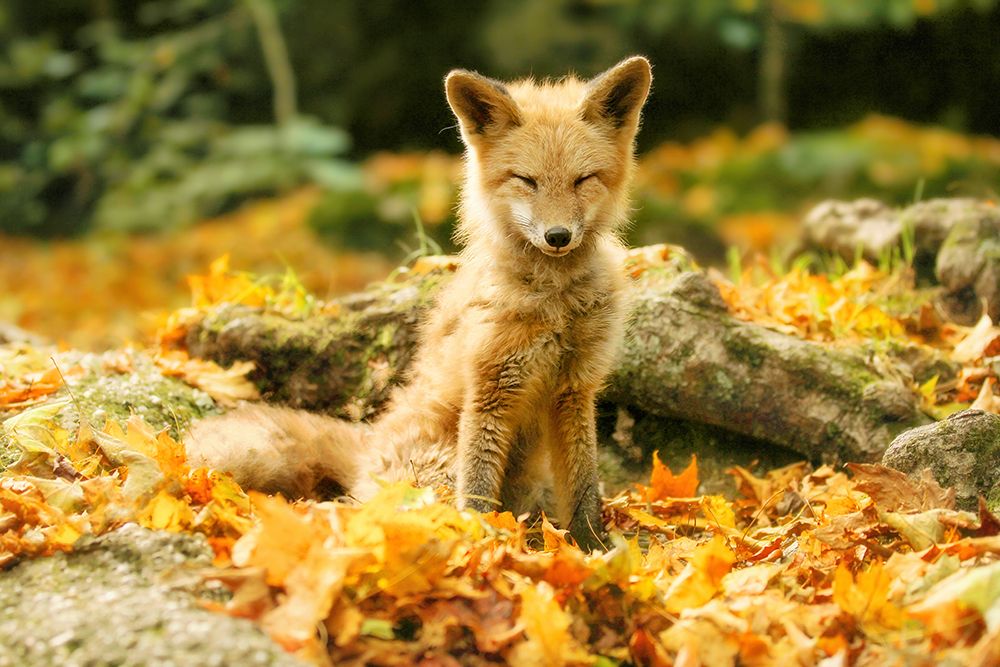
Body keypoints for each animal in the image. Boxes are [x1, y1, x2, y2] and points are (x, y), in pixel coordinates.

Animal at [184, 56, 652, 550]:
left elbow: (583, 489)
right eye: (527, 181)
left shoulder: (575, 388)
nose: (557, 236)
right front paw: (483, 544)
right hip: (438, 472)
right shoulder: (491, 387)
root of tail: (368, 444)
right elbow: (478, 489)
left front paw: (592, 548)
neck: (556, 303)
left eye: (584, 180)